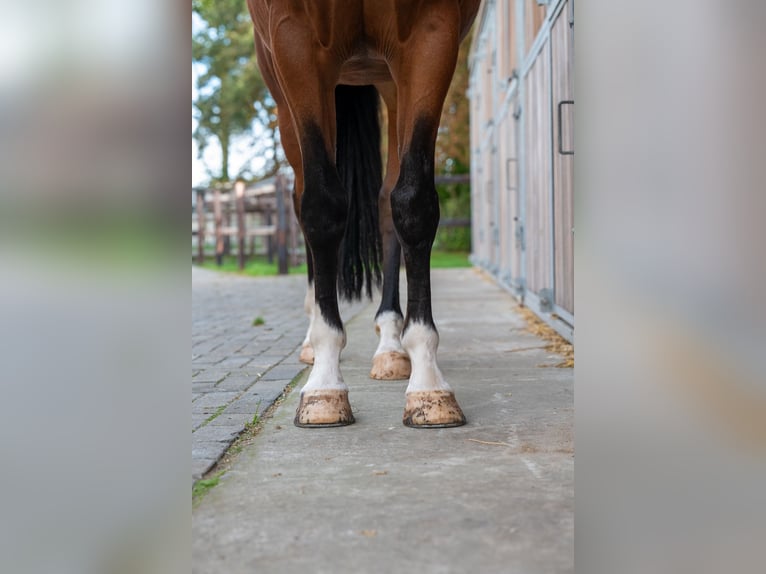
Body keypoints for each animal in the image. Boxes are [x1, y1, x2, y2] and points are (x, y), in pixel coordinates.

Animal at [249, 0, 484, 430]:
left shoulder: (432, 34)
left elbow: (412, 203)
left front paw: (428, 385)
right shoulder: (294, 37)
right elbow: (321, 206)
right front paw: (324, 385)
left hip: (390, 81)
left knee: (386, 202)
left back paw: (391, 344)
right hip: (283, 94)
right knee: (300, 197)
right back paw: (312, 340)